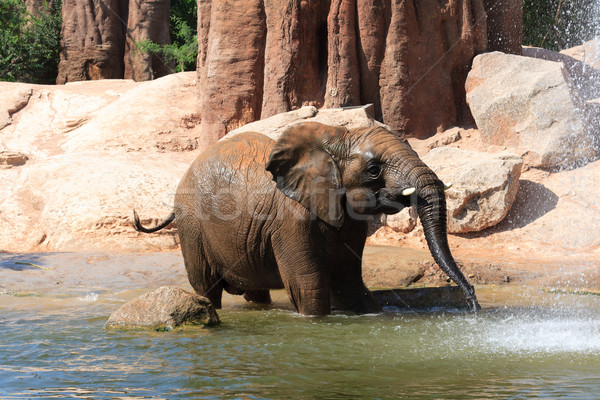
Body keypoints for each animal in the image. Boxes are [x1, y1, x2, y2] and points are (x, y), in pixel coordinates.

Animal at [134, 122, 480, 316]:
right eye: (373, 170)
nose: (474, 304)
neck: (334, 140)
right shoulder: (290, 221)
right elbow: (310, 287)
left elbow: (349, 285)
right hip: (192, 224)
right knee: (206, 287)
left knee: (254, 290)